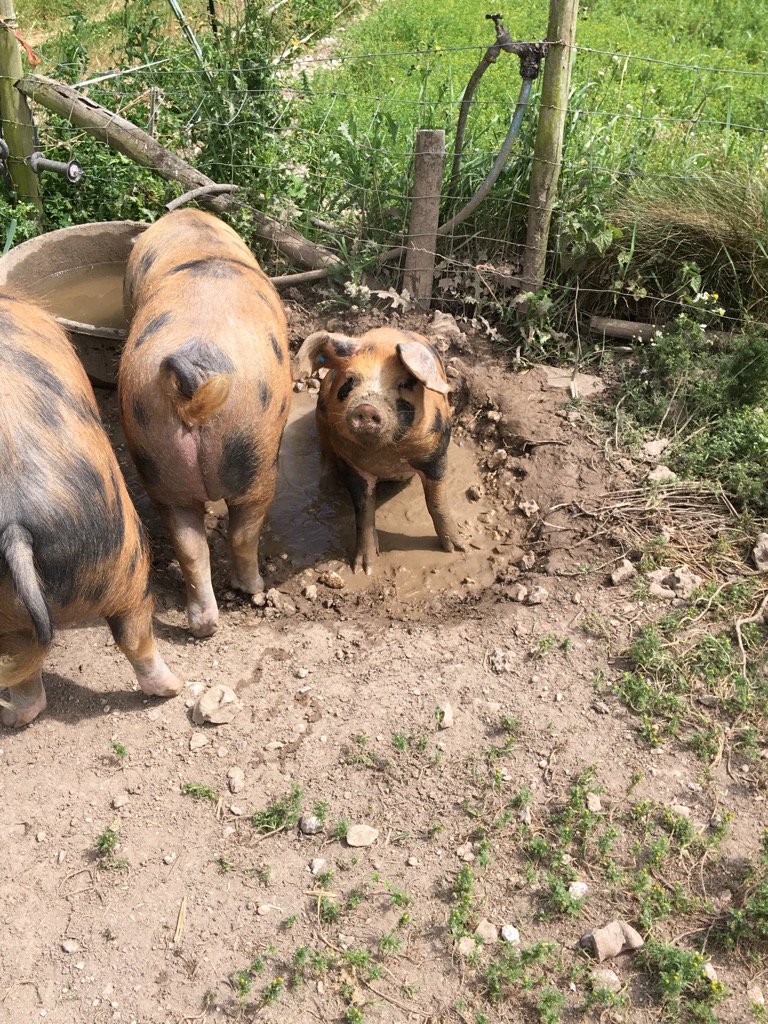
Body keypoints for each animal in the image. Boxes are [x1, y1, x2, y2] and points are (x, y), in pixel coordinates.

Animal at [119, 209, 291, 637]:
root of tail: (193, 379)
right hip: (258, 454)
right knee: (243, 530)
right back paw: (253, 588)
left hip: (158, 459)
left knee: (190, 544)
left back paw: (204, 626)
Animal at [295, 327, 466, 573]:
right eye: (350, 380)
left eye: (403, 384)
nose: (367, 408)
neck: (388, 457)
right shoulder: (352, 465)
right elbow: (363, 511)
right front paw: (364, 569)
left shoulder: (435, 454)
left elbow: (437, 502)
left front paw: (458, 548)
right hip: (320, 415)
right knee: (326, 453)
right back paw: (327, 487)